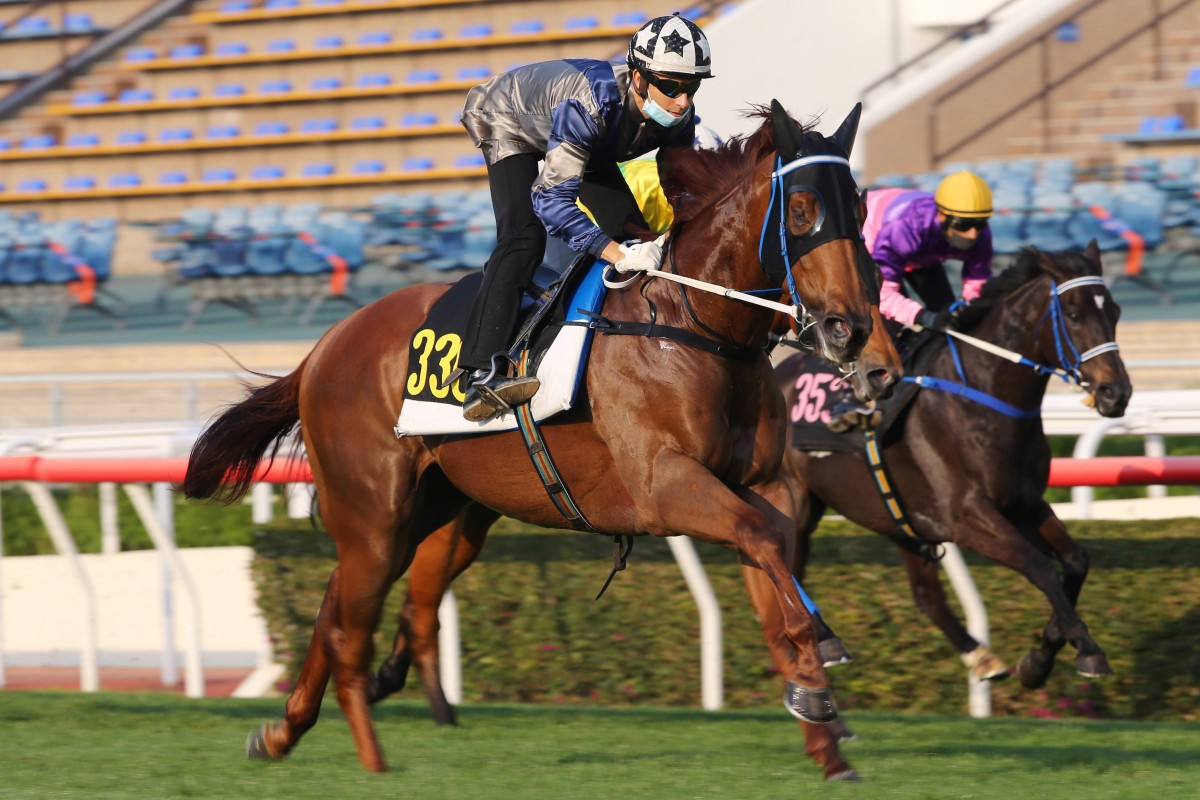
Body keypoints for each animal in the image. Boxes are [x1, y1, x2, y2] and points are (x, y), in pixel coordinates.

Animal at [184, 101, 883, 782]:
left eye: (861, 207)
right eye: (802, 209)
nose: (850, 330)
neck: (696, 324)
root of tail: (326, 345)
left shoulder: (762, 485)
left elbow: (773, 568)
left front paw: (823, 730)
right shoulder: (665, 484)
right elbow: (764, 546)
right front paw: (819, 663)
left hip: (430, 509)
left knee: (333, 604)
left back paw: (282, 732)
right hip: (374, 512)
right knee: (347, 626)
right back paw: (370, 756)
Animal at [782, 244, 1128, 690]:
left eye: (1115, 311)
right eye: (1072, 313)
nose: (1117, 393)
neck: (986, 395)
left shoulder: (1025, 504)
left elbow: (1076, 561)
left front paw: (1040, 658)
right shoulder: (966, 515)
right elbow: (1039, 567)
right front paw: (1084, 650)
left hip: (897, 519)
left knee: (925, 595)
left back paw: (979, 655)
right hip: (797, 503)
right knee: (789, 569)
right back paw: (821, 643)